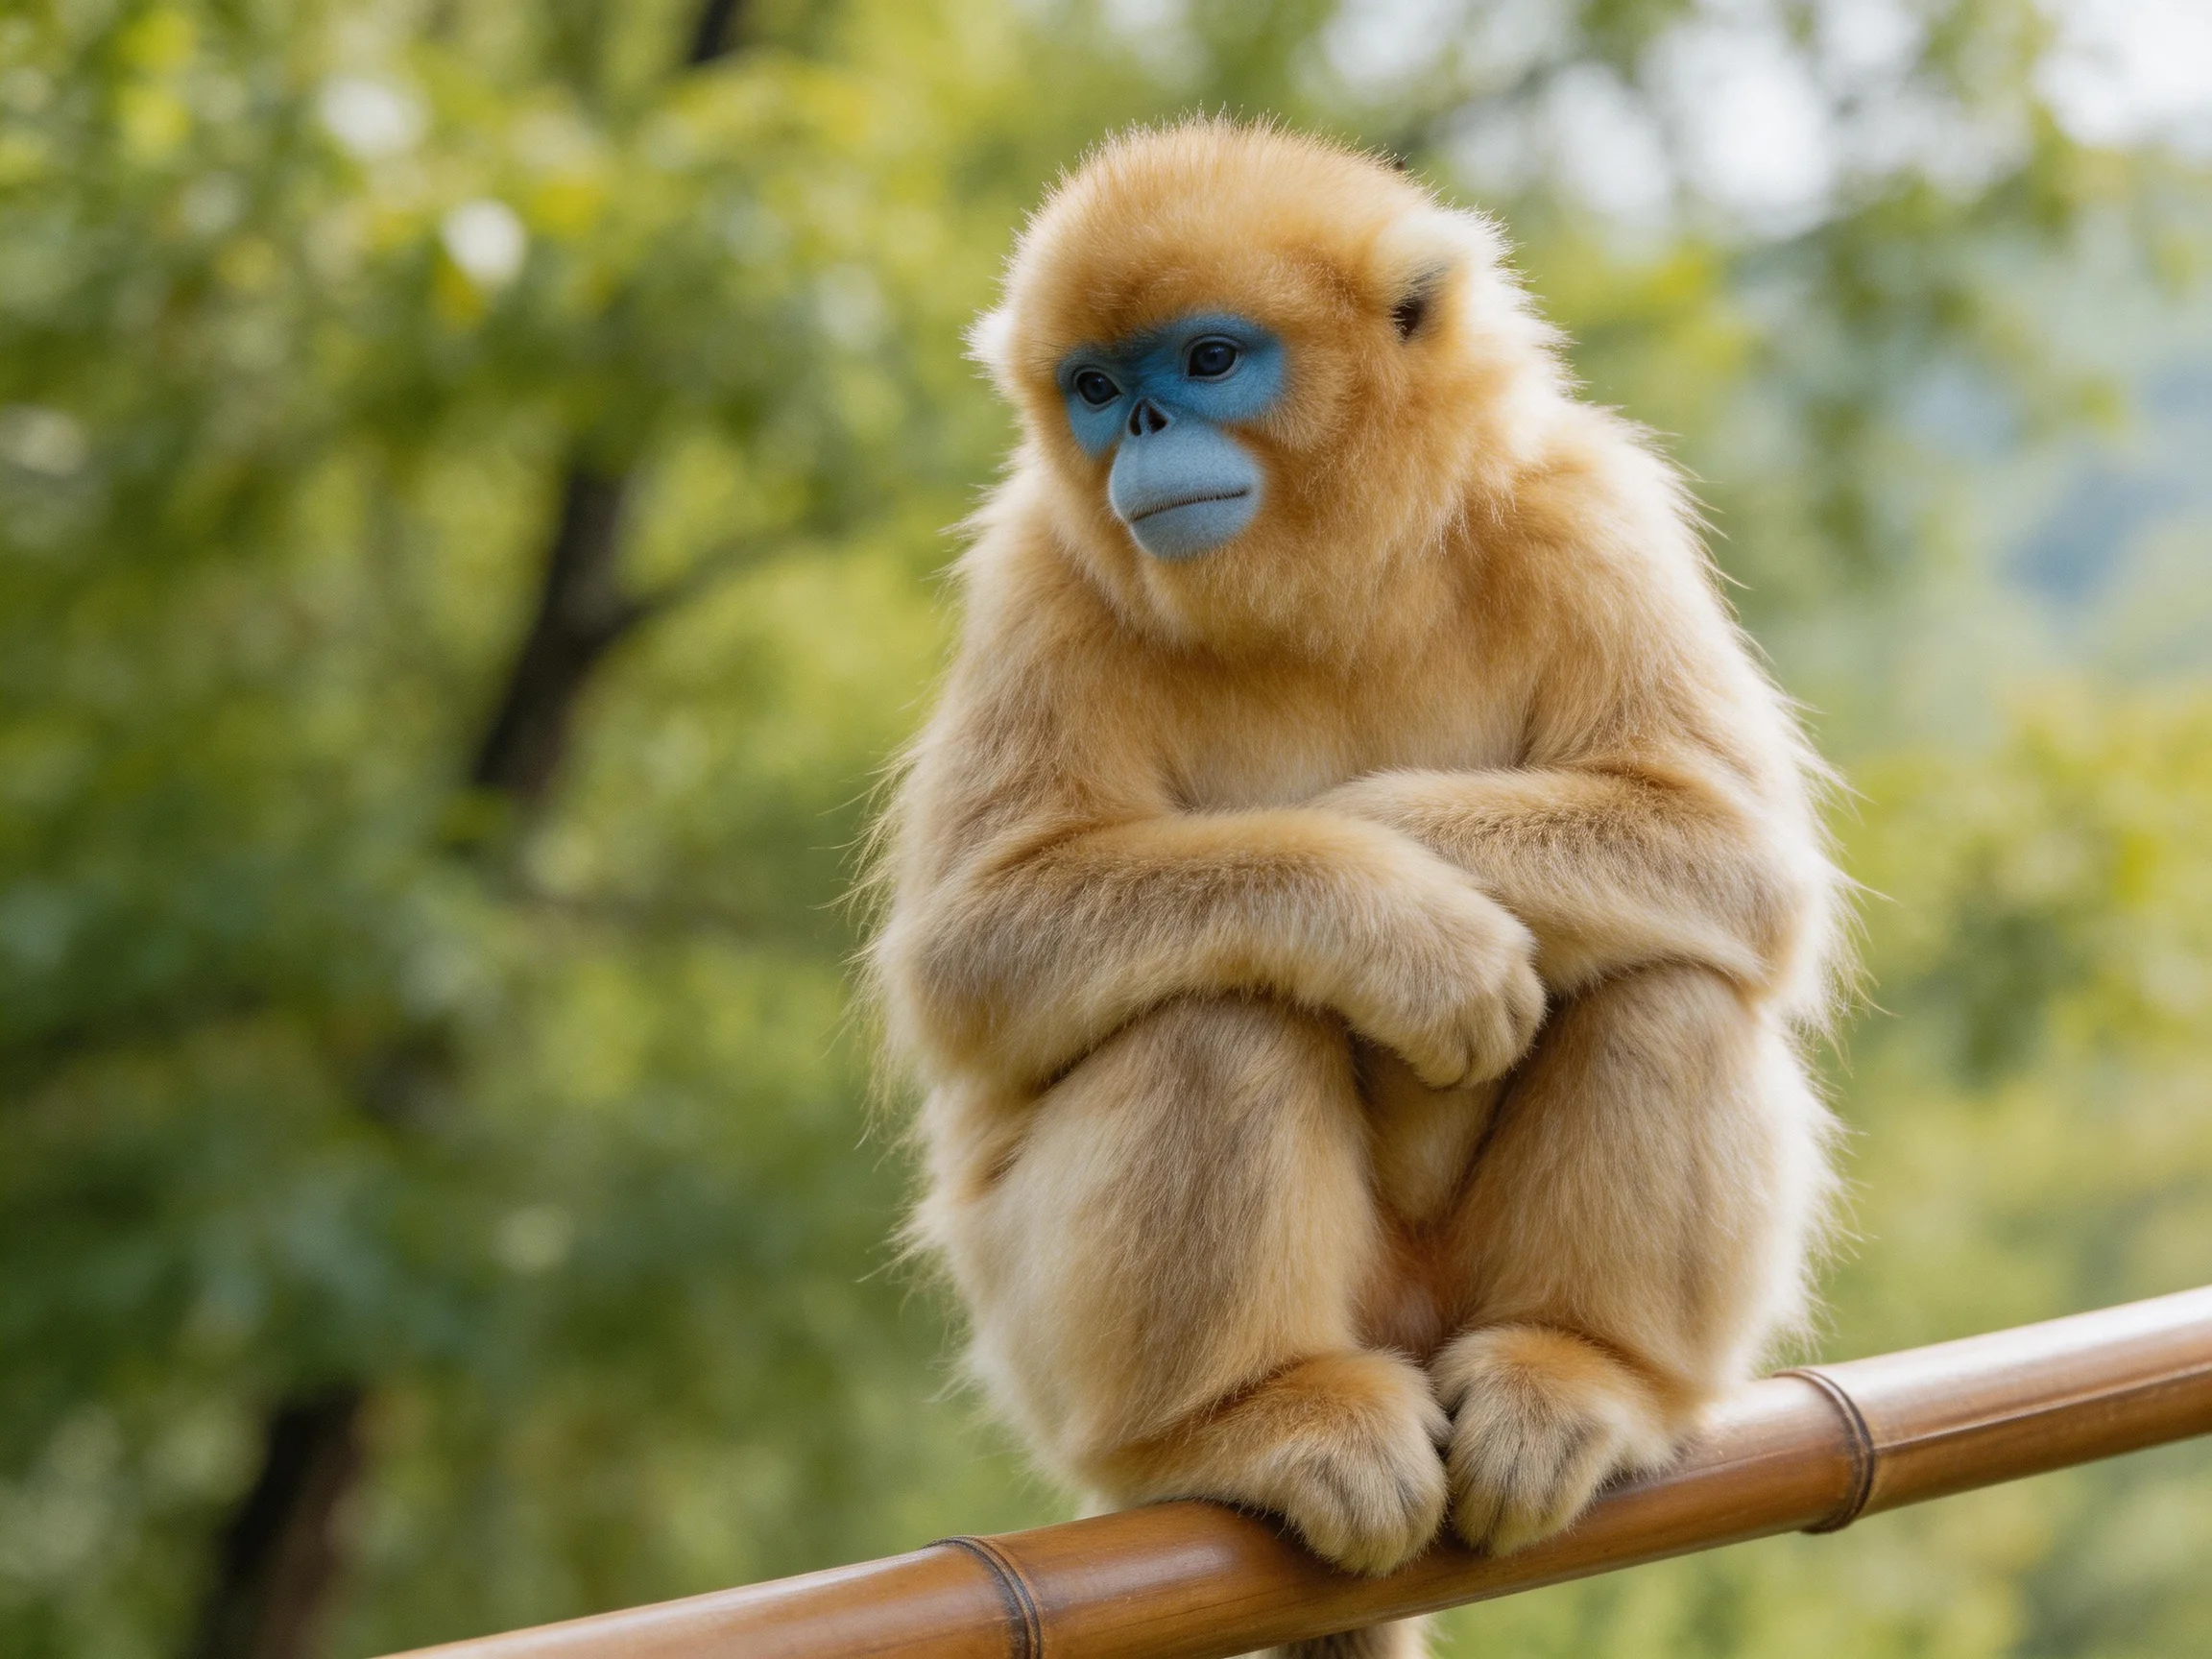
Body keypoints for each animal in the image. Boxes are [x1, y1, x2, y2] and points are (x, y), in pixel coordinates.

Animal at [869, 120, 1841, 1659]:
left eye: (1208, 360)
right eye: (1094, 388)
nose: (1139, 432)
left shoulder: (1586, 508)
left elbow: (1734, 856)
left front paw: (1400, 866)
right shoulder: (1039, 576)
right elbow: (974, 952)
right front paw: (1396, 922)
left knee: (1672, 982)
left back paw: (1588, 1370)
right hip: (1043, 1340)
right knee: (1215, 1015)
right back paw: (1243, 1419)